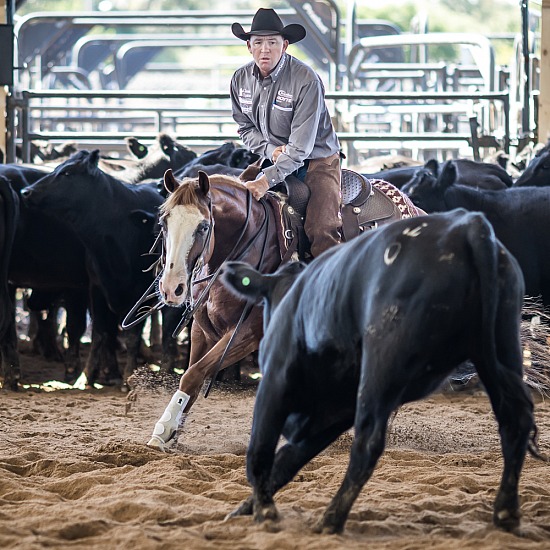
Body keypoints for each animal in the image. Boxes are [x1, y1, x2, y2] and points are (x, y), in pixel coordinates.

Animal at [21, 149, 179, 386]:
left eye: (66, 173)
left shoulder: (140, 293)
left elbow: (132, 335)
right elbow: (101, 332)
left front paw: (128, 375)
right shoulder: (96, 289)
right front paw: (86, 376)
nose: (26, 191)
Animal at [222, 211, 540, 540]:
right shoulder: (335, 412)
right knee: (514, 425)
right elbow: (287, 460)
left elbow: (260, 453)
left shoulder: (275, 382)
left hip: (381, 363)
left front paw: (265, 512)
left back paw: (331, 519)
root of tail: (467, 225)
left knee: (368, 443)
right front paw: (246, 509)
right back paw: (506, 514)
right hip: (501, 345)